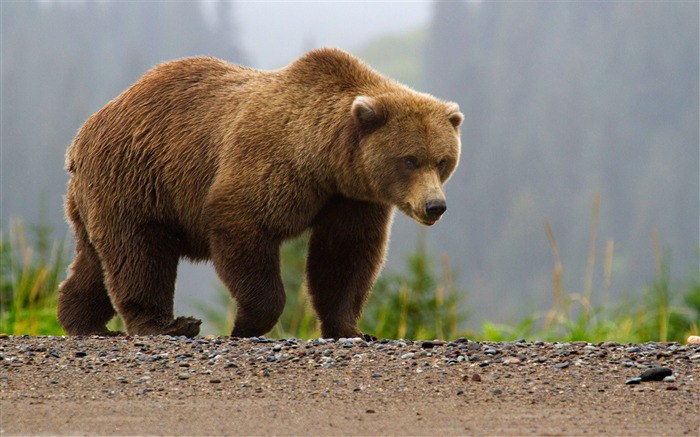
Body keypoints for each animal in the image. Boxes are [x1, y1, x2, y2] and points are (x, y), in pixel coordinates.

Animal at [57, 48, 462, 340]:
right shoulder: (271, 164)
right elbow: (243, 226)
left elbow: (345, 256)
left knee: (95, 260)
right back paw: (167, 325)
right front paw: (245, 324)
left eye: (443, 160)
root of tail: (82, 135)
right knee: (139, 254)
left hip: (100, 195)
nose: (435, 206)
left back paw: (82, 321)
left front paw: (352, 329)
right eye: (409, 159)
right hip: (137, 178)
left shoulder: (351, 199)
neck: (326, 162)